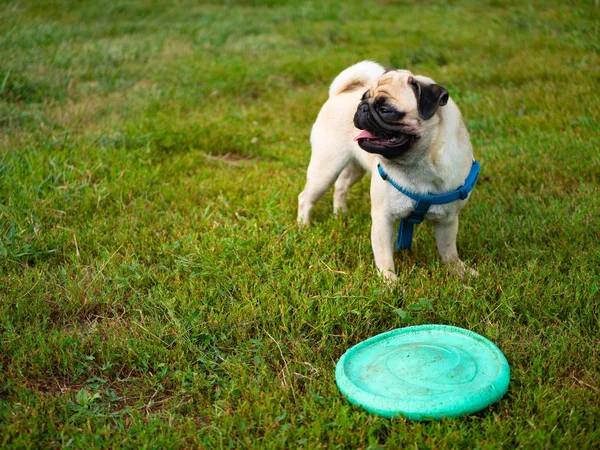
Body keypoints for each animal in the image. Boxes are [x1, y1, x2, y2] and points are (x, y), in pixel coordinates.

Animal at [296, 59, 478, 278]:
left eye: (386, 110)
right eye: (363, 99)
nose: (362, 108)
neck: (418, 165)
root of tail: (338, 94)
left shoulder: (448, 221)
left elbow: (449, 251)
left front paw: (460, 271)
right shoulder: (383, 219)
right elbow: (384, 255)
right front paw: (389, 281)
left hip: (355, 168)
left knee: (341, 185)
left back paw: (340, 214)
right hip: (325, 168)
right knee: (306, 198)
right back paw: (304, 227)